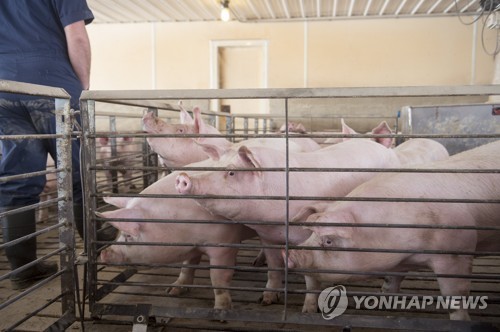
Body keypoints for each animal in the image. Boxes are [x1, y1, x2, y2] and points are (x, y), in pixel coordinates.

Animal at [286, 139, 500, 320]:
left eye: (328, 240)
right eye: (311, 234)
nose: (289, 253)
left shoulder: (457, 251)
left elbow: (455, 294)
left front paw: (461, 321)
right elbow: (392, 278)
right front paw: (384, 299)